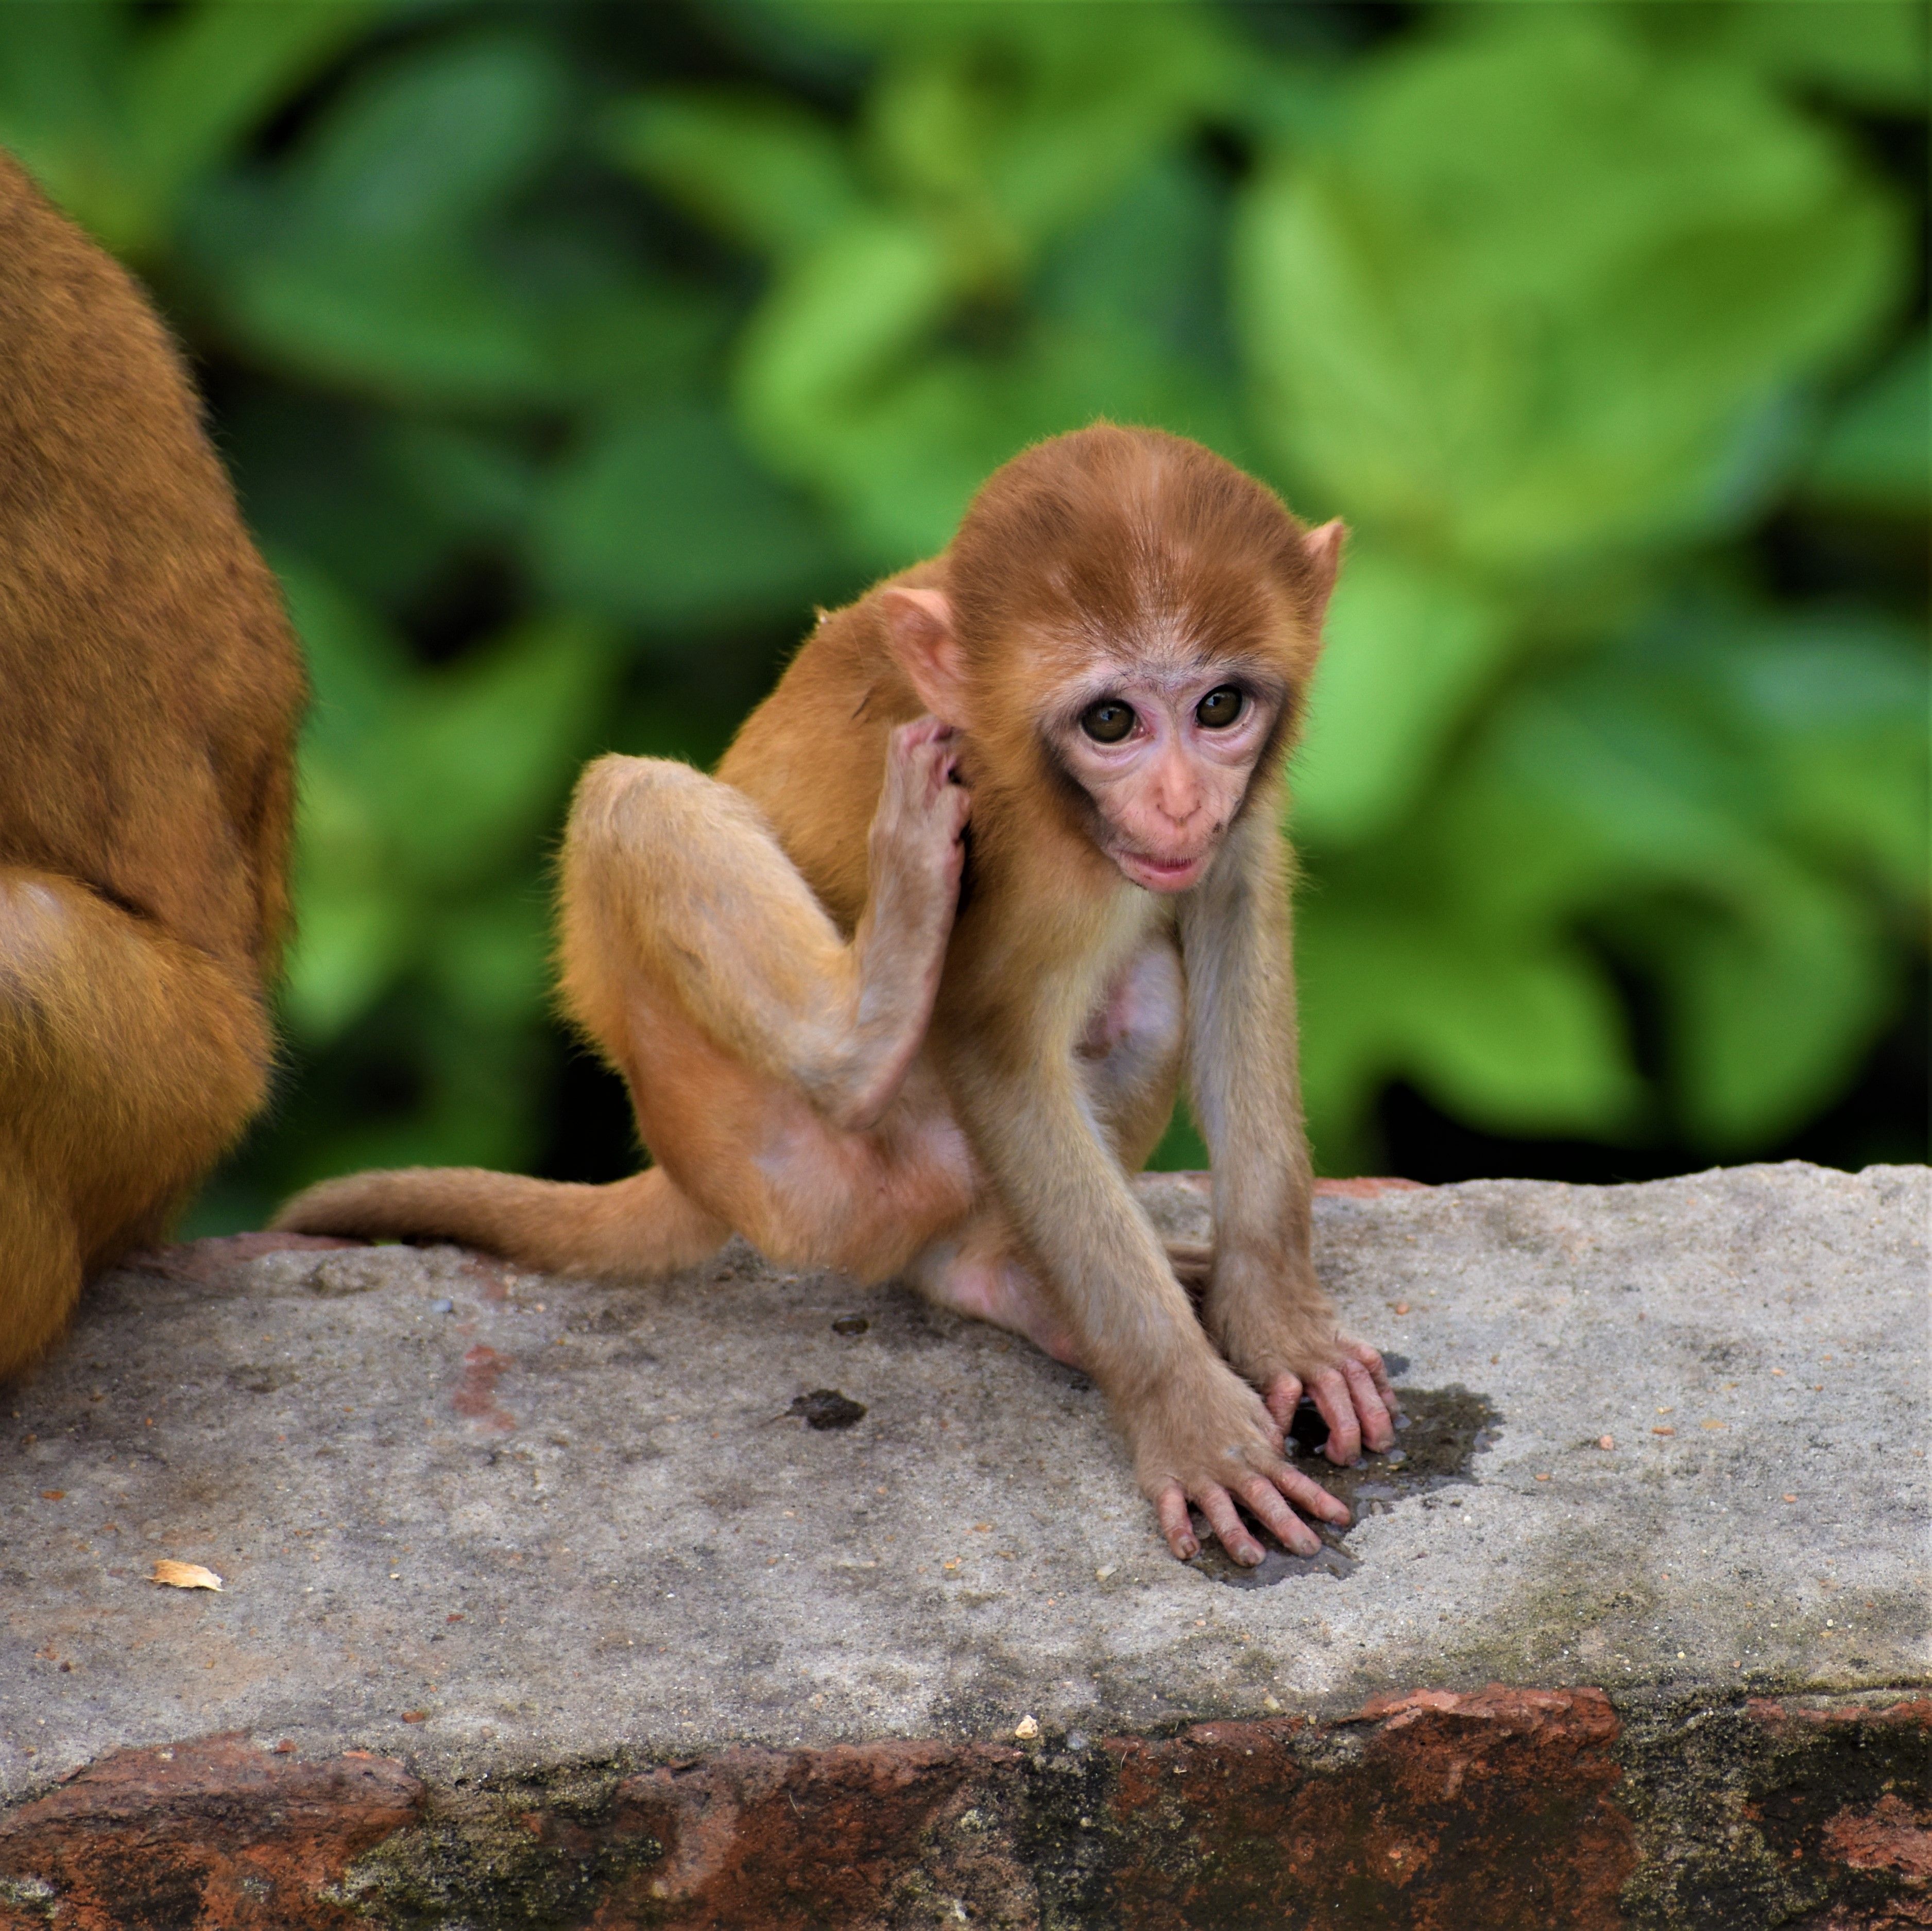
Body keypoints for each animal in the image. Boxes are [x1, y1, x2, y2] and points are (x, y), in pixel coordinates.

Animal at [276, 424, 1396, 1565]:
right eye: (1113, 720)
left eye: (1218, 707)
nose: (1177, 803)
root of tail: (679, 1160)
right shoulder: (1027, 854)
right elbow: (997, 1046)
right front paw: (1188, 1410)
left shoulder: (1229, 825)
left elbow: (1232, 919)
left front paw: (1279, 1322)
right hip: (774, 1150)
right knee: (634, 796)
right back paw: (868, 1029)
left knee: (1150, 992)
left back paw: (994, 1274)